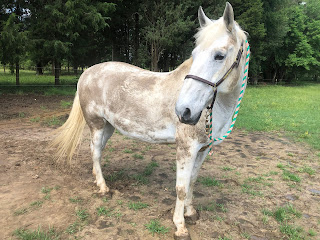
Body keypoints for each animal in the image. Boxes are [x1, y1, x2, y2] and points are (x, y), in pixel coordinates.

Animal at [51, 2, 249, 239]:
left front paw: (191, 213)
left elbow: (192, 181)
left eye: (219, 55)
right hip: (96, 125)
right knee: (95, 153)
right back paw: (103, 188)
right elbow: (181, 188)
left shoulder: (203, 149)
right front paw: (180, 226)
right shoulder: (186, 148)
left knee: (96, 152)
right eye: (194, 53)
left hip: (109, 127)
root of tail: (87, 72)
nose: (184, 111)